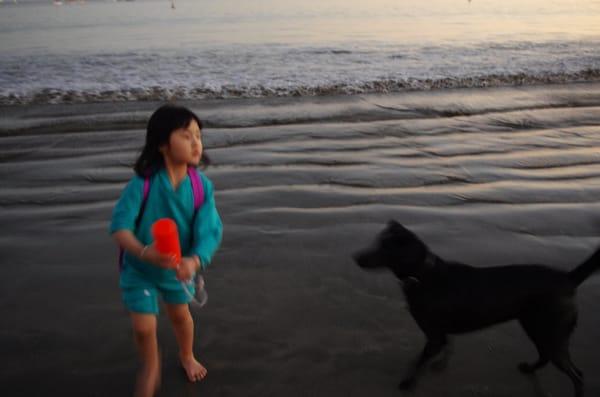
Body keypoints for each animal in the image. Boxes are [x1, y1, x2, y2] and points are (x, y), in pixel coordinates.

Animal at [352, 221, 600, 394]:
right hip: (535, 327)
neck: (424, 275)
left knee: (577, 374)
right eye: (377, 242)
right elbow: (446, 345)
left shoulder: (433, 335)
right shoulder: (440, 333)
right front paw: (440, 364)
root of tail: (568, 279)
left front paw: (408, 381)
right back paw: (528, 369)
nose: (356, 257)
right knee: (548, 357)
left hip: (550, 330)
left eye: (385, 248)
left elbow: (419, 360)